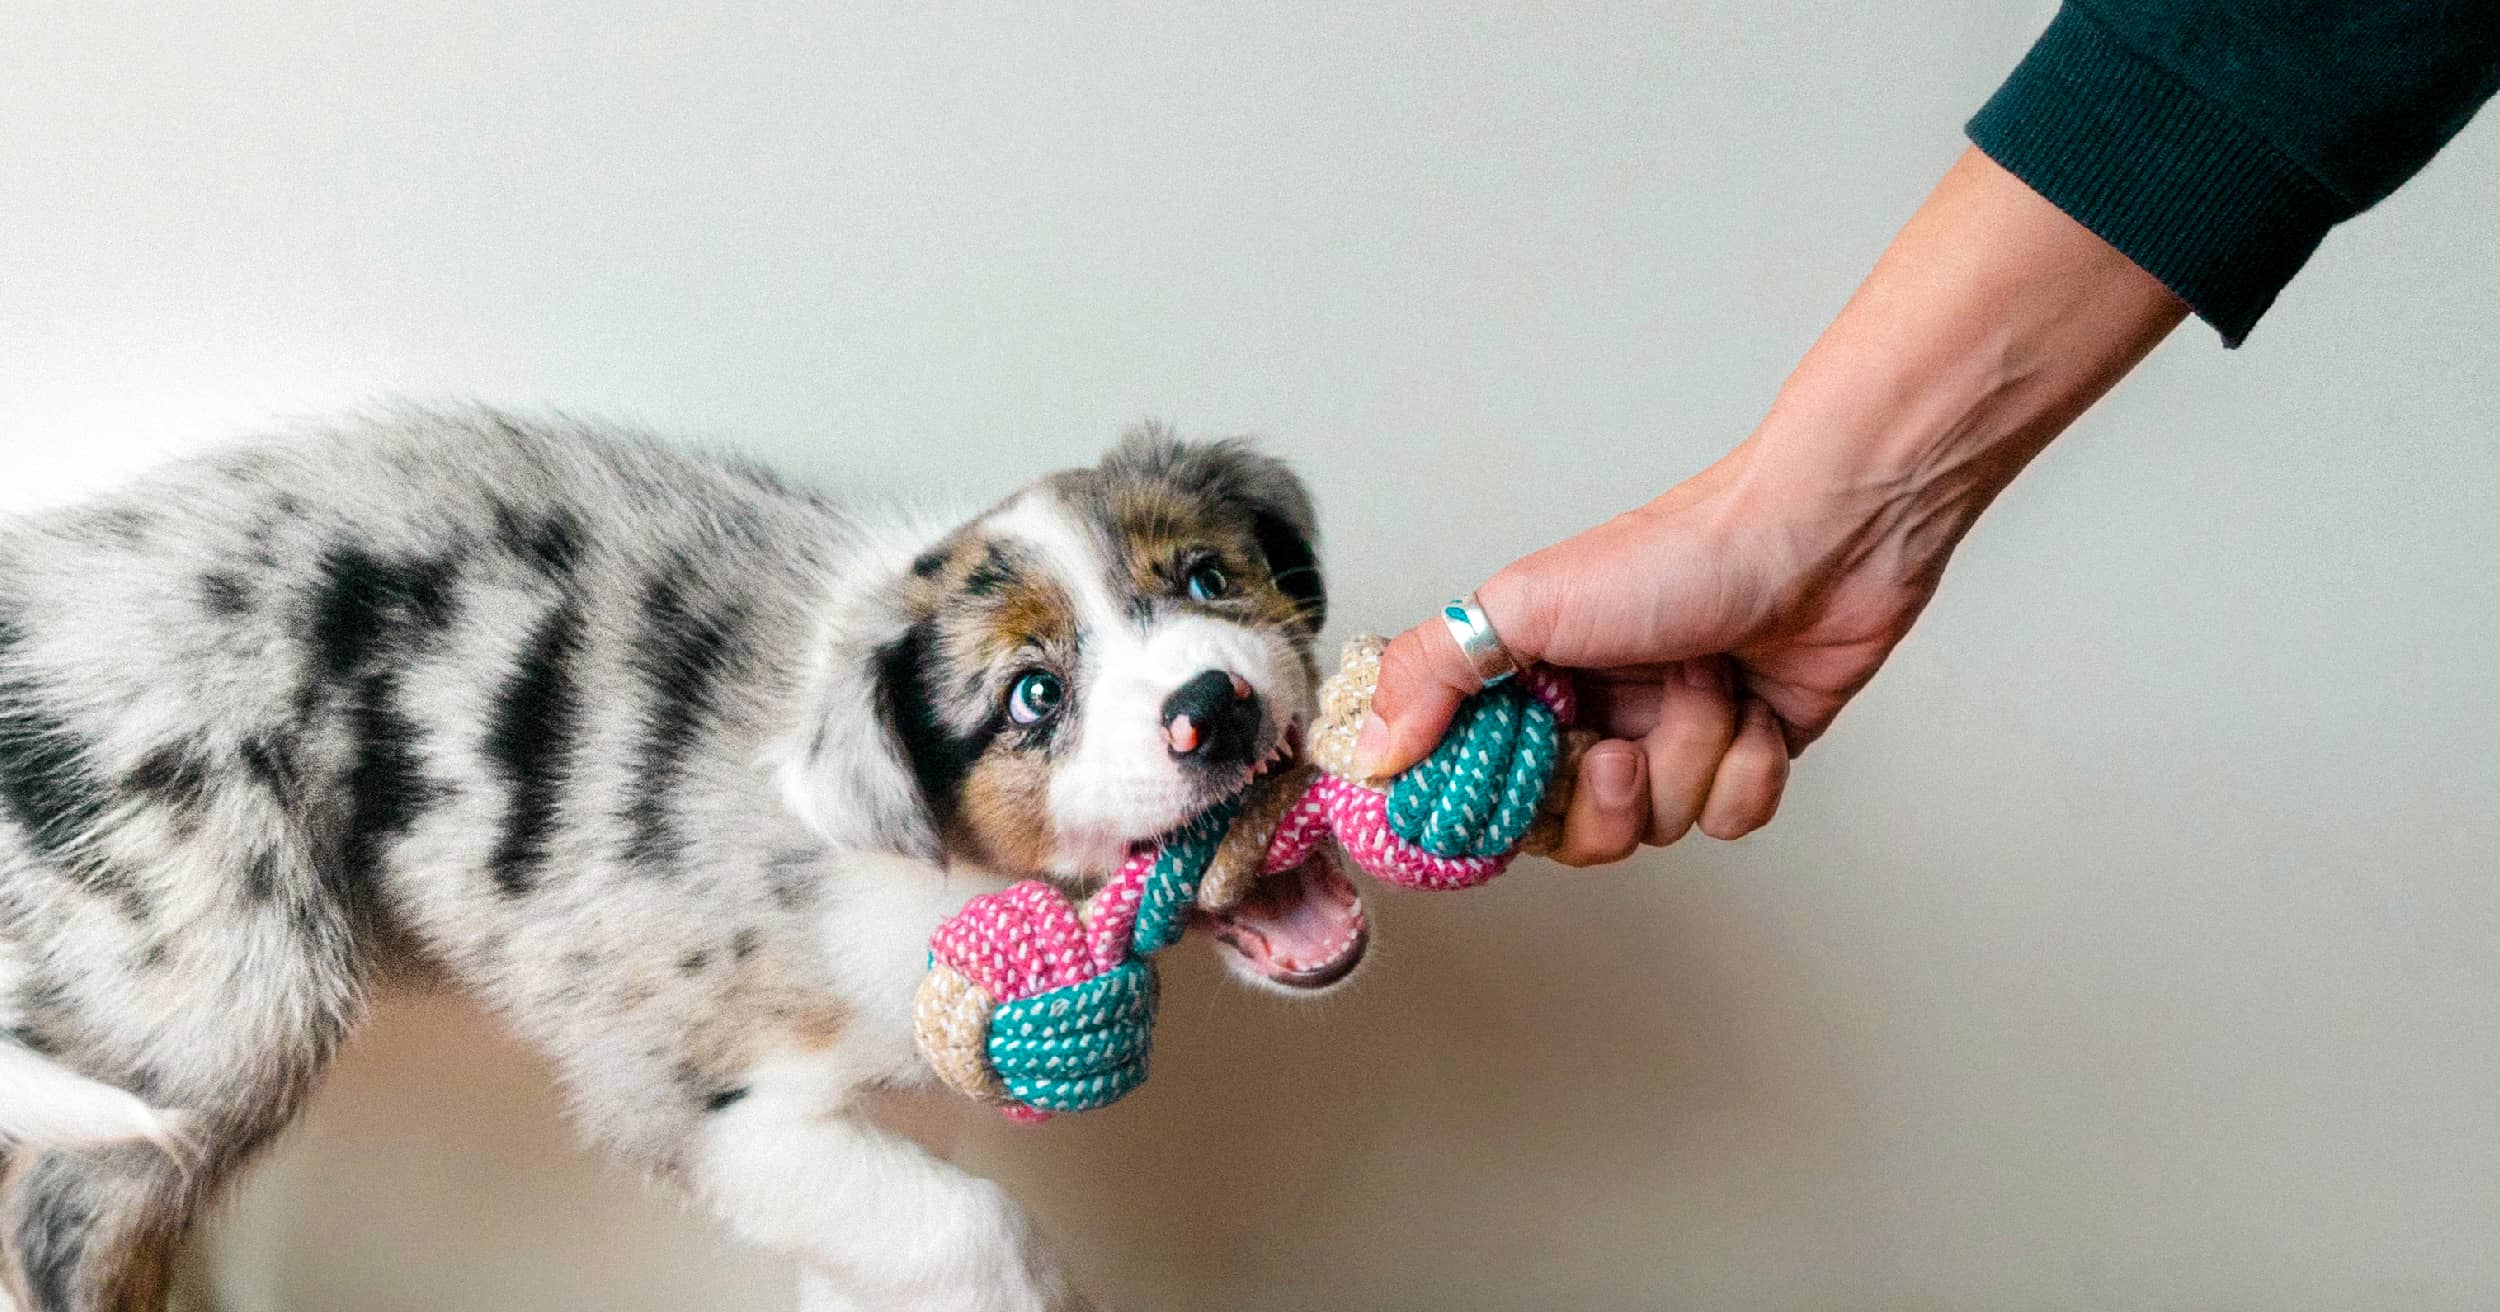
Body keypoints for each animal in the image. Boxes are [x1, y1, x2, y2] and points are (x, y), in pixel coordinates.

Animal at [0, 412, 1370, 1309]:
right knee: (64, 1223)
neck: (937, 851)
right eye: (1034, 694)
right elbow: (980, 1228)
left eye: (1209, 576)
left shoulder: (851, 1122)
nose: (1216, 707)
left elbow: (893, 1237)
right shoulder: (689, 1097)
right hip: (223, 992)